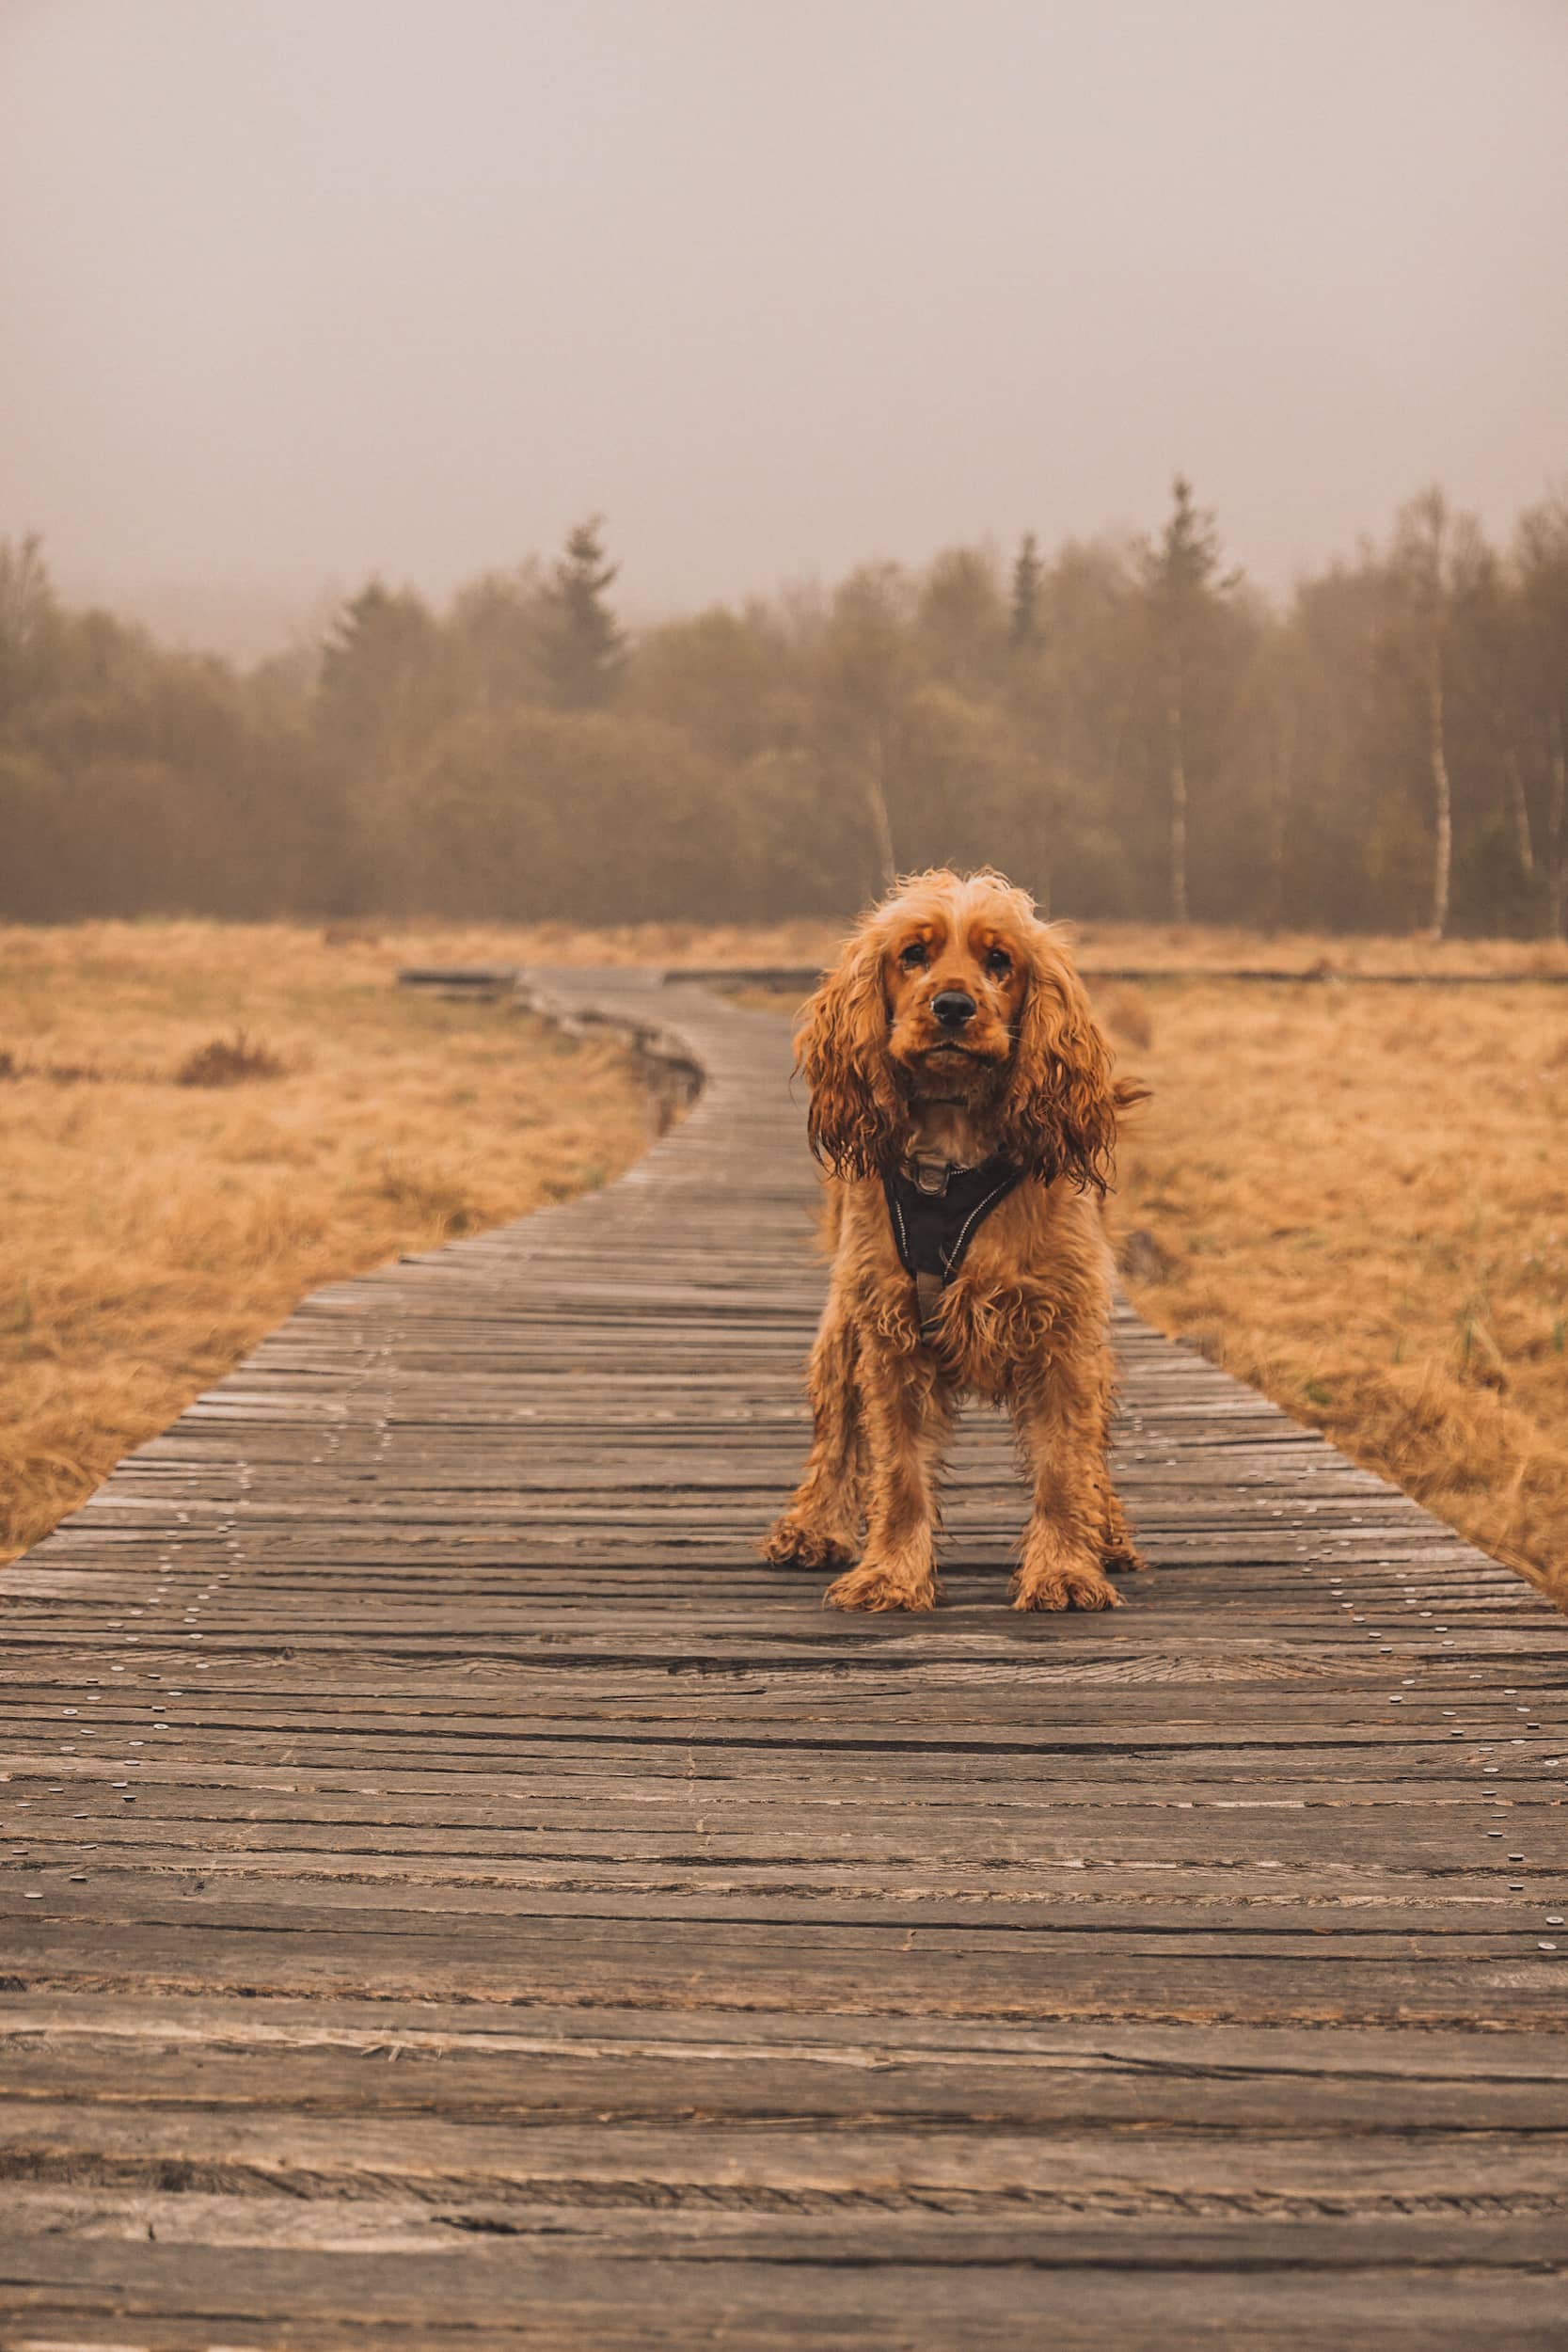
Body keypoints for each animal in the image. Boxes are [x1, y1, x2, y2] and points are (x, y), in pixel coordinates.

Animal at [752, 870, 1147, 1618]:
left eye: (999, 962)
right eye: (913, 955)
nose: (954, 1006)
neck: (954, 1158)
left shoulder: (1064, 1331)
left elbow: (1063, 1465)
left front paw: (1065, 1572)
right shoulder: (890, 1333)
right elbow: (899, 1474)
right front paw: (889, 1576)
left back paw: (1105, 1533)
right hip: (841, 1331)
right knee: (834, 1430)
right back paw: (811, 1529)